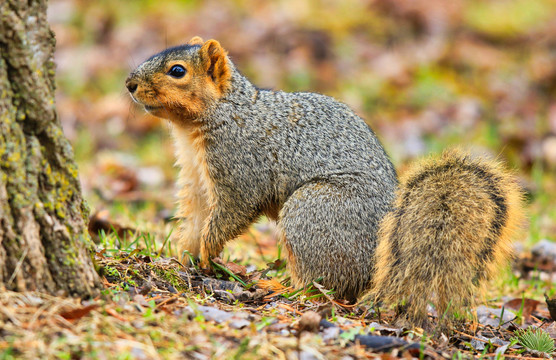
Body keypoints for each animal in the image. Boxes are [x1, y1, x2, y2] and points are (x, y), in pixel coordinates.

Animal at [127, 37, 524, 330]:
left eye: (177, 71)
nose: (130, 84)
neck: (220, 114)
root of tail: (375, 273)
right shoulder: (195, 178)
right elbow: (195, 217)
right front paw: (184, 255)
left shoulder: (240, 167)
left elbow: (231, 214)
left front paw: (208, 255)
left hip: (313, 212)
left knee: (322, 287)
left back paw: (278, 286)